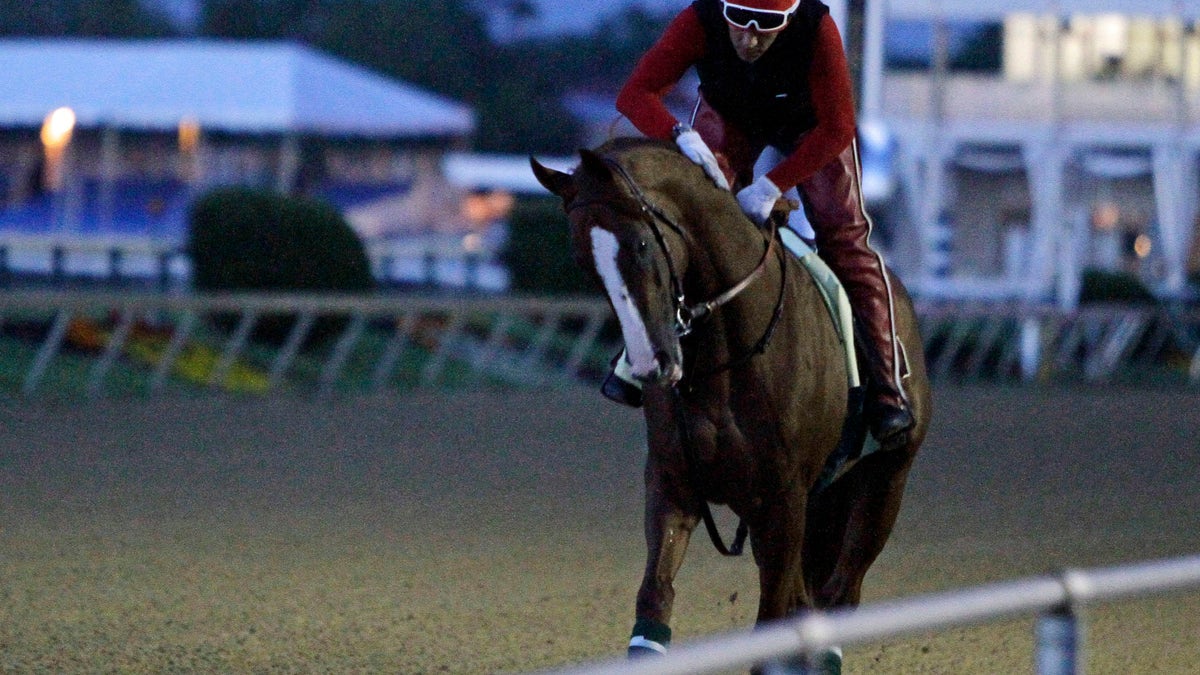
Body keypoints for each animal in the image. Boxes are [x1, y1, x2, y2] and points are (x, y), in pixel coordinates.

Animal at [530, 138, 931, 667]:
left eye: (640, 245)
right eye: (583, 261)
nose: (651, 364)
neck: (727, 357)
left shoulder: (784, 502)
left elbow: (774, 618)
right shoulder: (673, 484)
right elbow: (654, 598)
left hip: (885, 483)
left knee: (842, 591)